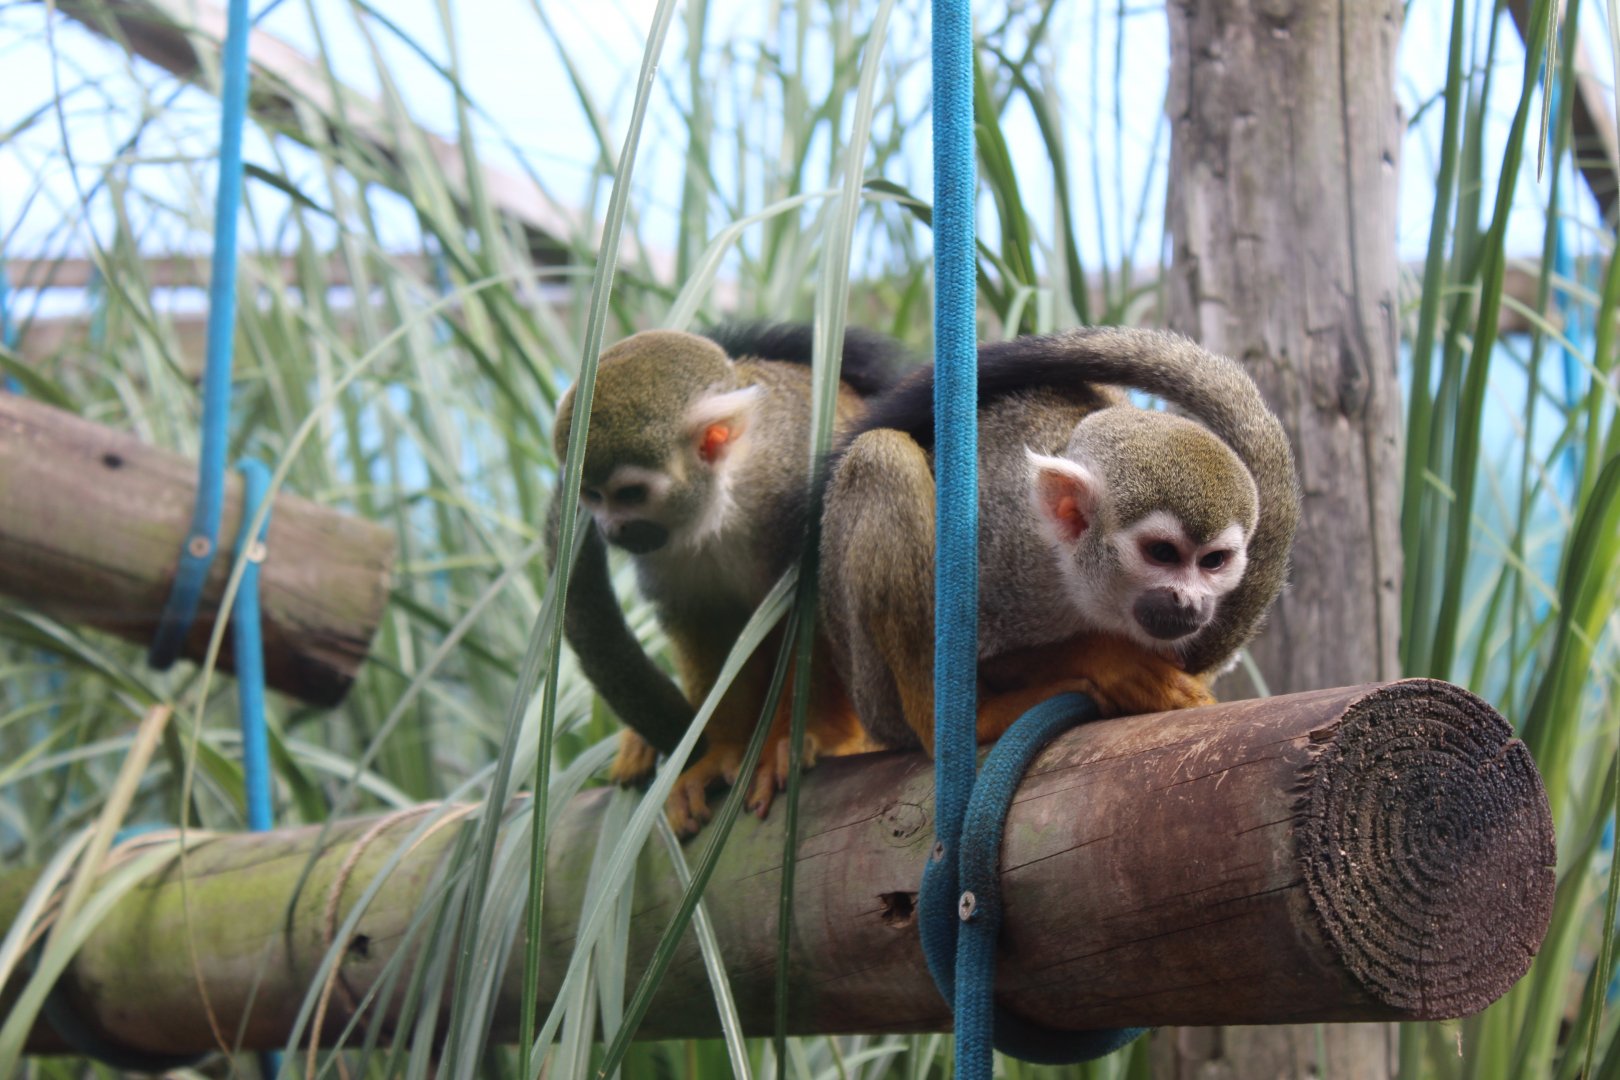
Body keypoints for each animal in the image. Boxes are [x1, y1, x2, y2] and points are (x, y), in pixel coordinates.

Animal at [548, 323, 908, 834]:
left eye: (630, 494)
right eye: (593, 496)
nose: (610, 530)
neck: (729, 491)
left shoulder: (794, 486)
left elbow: (815, 609)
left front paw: (813, 731)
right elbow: (706, 622)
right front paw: (720, 752)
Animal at [818, 325, 1300, 753]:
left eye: (1213, 561)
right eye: (1162, 553)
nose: (1191, 602)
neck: (1070, 574)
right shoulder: (998, 554)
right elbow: (987, 656)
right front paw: (1109, 659)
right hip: (873, 695)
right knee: (882, 457)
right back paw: (960, 725)